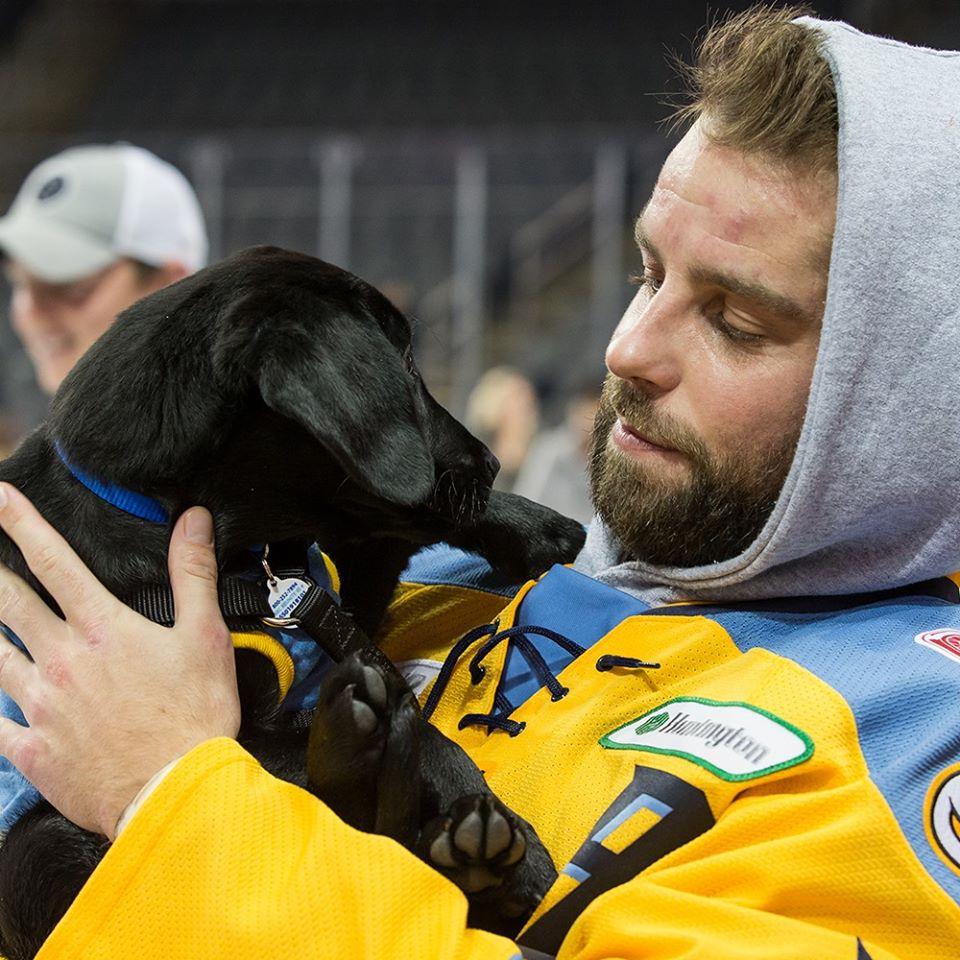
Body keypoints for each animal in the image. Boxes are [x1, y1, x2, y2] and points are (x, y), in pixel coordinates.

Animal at [0, 248, 576, 960]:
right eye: (404, 363)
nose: (495, 461)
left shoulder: (345, 580)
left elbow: (386, 533)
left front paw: (532, 525)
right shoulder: (236, 726)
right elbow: (423, 738)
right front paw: (515, 846)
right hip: (38, 843)